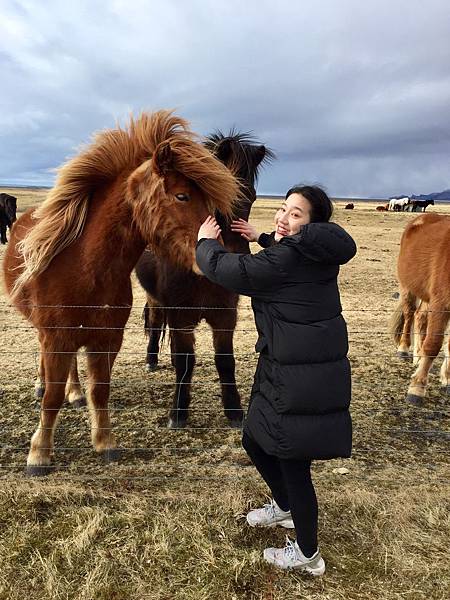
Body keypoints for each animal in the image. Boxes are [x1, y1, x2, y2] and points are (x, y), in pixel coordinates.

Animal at [2, 109, 239, 474]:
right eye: (182, 195)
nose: (217, 254)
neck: (86, 270)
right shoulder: (57, 337)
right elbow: (52, 397)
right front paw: (39, 454)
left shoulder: (107, 338)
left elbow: (100, 390)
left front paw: (105, 442)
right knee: (47, 369)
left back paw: (75, 394)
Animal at [134, 131, 274, 426]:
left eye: (252, 198)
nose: (237, 257)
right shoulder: (181, 315)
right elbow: (186, 360)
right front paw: (178, 412)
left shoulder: (225, 315)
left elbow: (225, 361)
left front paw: (234, 411)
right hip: (157, 300)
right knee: (156, 324)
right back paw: (152, 360)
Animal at [390, 213, 450, 406]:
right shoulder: (442, 304)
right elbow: (434, 344)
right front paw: (417, 388)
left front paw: (447, 379)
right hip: (408, 288)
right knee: (410, 315)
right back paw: (404, 349)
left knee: (420, 318)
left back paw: (418, 355)